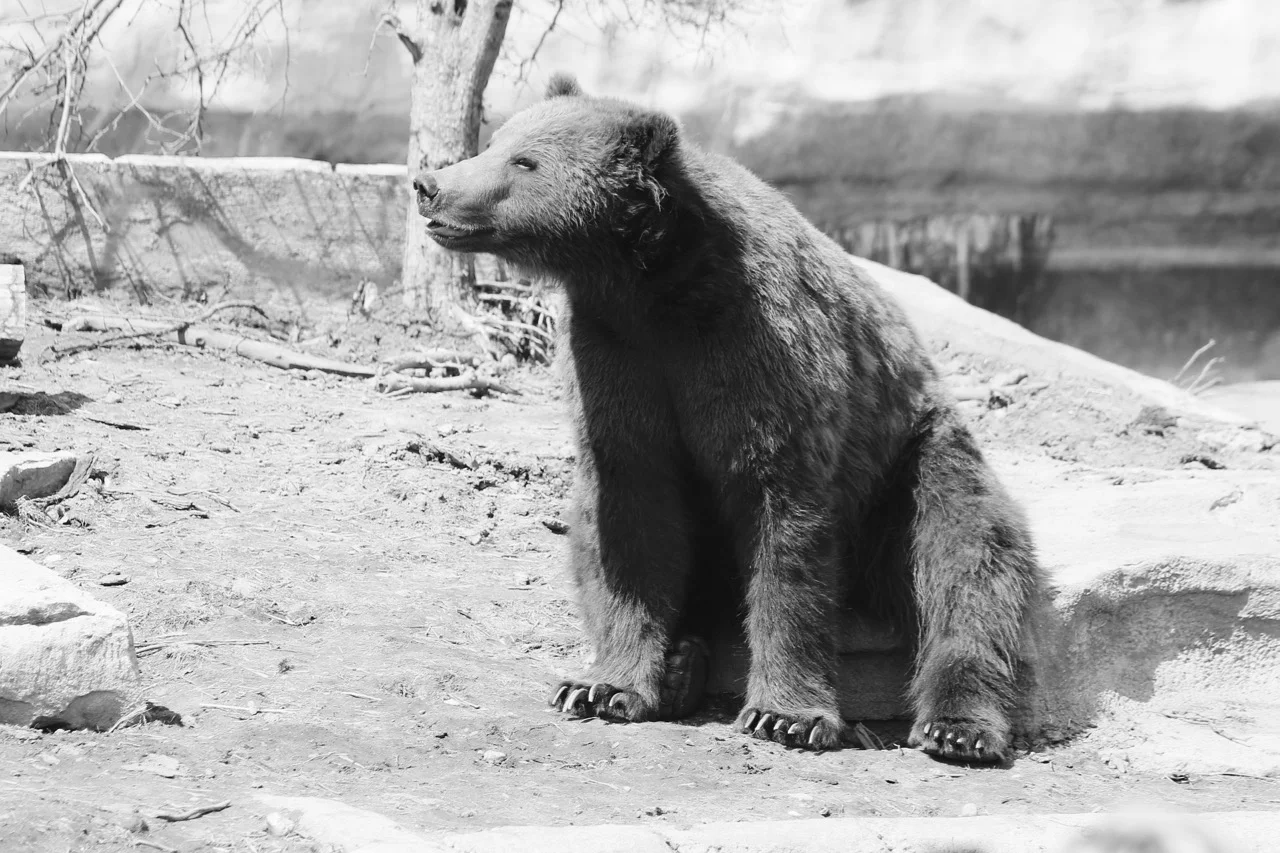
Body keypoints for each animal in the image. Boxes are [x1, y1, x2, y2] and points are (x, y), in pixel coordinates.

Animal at [412, 73, 1043, 763]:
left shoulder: (755, 351)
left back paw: (958, 726)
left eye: (524, 162)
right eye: (497, 140)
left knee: (963, 555)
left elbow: (782, 524)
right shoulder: (615, 356)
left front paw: (785, 715)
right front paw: (605, 686)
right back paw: (681, 666)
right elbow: (629, 517)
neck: (657, 286)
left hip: (909, 459)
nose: (430, 184)